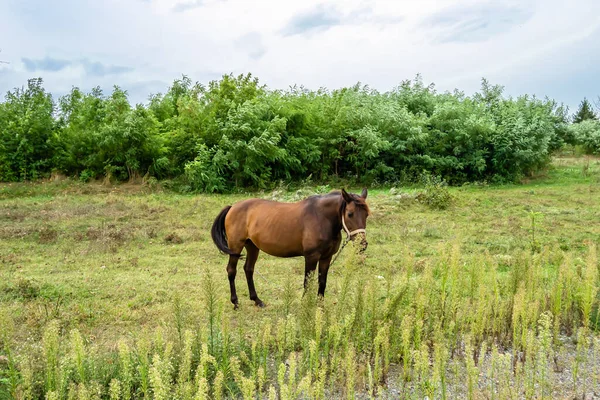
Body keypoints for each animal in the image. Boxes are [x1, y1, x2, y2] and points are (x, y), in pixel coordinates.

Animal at [211, 189, 370, 308]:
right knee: (231, 271)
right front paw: (305, 305)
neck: (322, 218)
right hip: (236, 247)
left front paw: (320, 306)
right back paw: (235, 302)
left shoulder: (326, 257)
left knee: (248, 269)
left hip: (252, 246)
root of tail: (232, 207)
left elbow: (322, 282)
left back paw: (257, 300)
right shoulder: (311, 257)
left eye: (367, 214)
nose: (362, 244)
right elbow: (307, 282)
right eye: (350, 214)